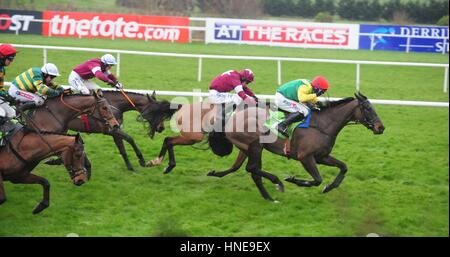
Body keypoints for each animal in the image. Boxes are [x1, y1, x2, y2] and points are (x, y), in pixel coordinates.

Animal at [209, 92, 384, 200]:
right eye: (367, 108)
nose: (380, 127)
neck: (322, 125)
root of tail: (233, 117)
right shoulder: (305, 157)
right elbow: (317, 179)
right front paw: (294, 180)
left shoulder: (321, 156)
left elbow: (343, 167)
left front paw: (329, 187)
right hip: (256, 146)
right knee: (252, 168)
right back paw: (277, 184)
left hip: (246, 147)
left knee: (243, 169)